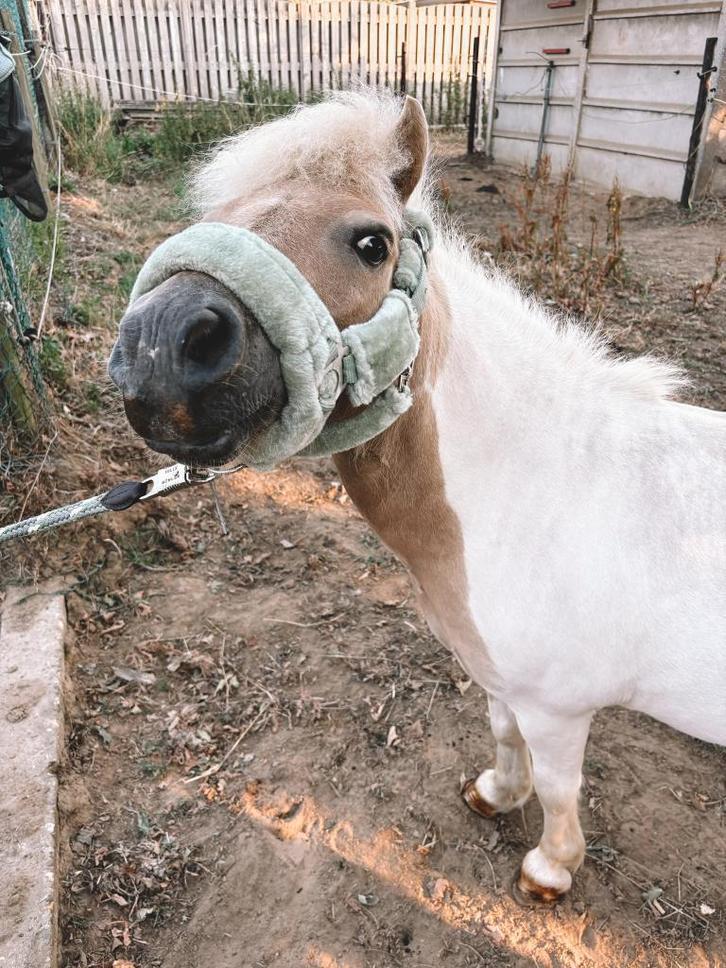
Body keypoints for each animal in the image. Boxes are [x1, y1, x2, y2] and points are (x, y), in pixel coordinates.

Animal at [108, 90, 726, 903]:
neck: (538, 491)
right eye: (212, 215)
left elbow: (559, 787)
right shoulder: (500, 680)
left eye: (373, 244)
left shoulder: (560, 709)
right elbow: (503, 737)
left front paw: (550, 869)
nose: (158, 346)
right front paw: (495, 795)